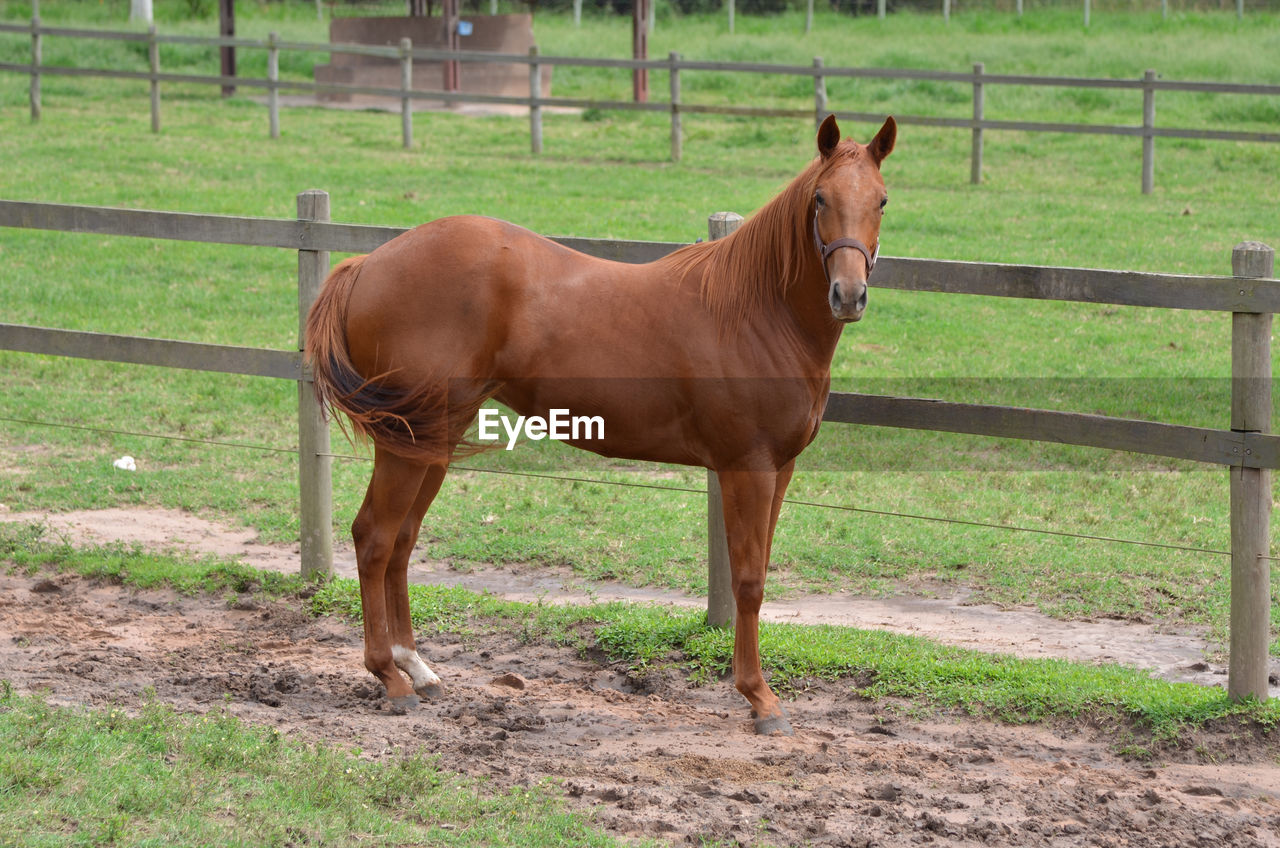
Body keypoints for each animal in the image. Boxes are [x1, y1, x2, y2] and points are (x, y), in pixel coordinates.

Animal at [303, 114, 896, 737]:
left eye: (881, 200)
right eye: (820, 198)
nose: (848, 295)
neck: (756, 311)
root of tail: (367, 264)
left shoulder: (779, 470)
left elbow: (757, 574)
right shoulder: (747, 469)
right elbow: (748, 582)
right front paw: (760, 699)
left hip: (433, 436)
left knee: (401, 540)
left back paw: (416, 668)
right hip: (409, 440)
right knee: (373, 537)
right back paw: (389, 678)